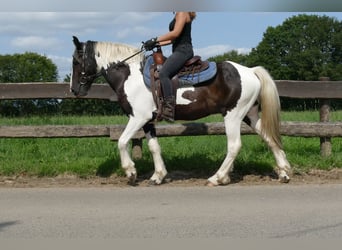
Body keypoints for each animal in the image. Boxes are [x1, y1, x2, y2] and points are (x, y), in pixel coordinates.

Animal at [70, 36, 292, 187]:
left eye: (75, 61)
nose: (74, 90)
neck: (130, 76)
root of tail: (251, 71)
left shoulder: (137, 118)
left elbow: (122, 141)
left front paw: (131, 172)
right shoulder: (148, 121)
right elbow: (154, 147)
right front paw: (158, 176)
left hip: (233, 115)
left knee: (234, 146)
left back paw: (217, 177)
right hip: (249, 115)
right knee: (269, 137)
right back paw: (284, 172)